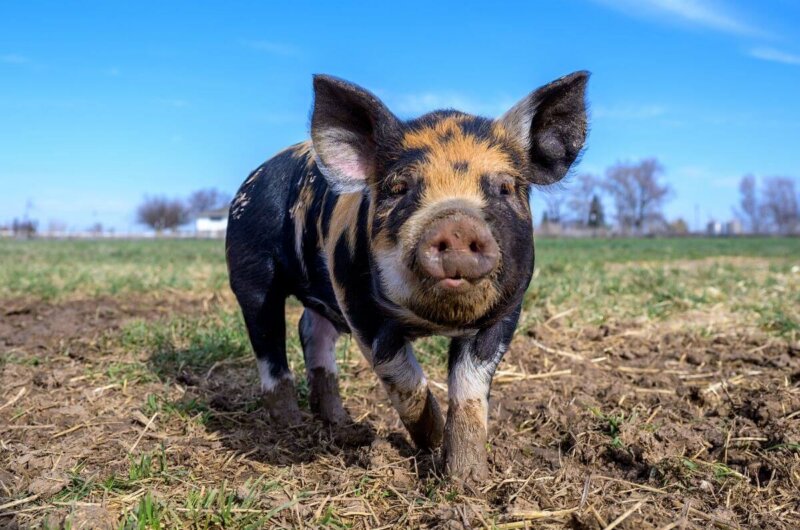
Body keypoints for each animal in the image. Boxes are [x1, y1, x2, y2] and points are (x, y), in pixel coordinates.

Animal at [226, 71, 589, 481]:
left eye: (506, 187)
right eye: (399, 188)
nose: (457, 224)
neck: (434, 322)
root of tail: (256, 174)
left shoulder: (507, 311)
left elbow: (470, 392)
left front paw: (466, 479)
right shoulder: (358, 304)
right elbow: (404, 379)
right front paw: (431, 442)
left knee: (312, 333)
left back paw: (340, 424)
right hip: (250, 270)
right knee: (269, 341)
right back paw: (290, 424)